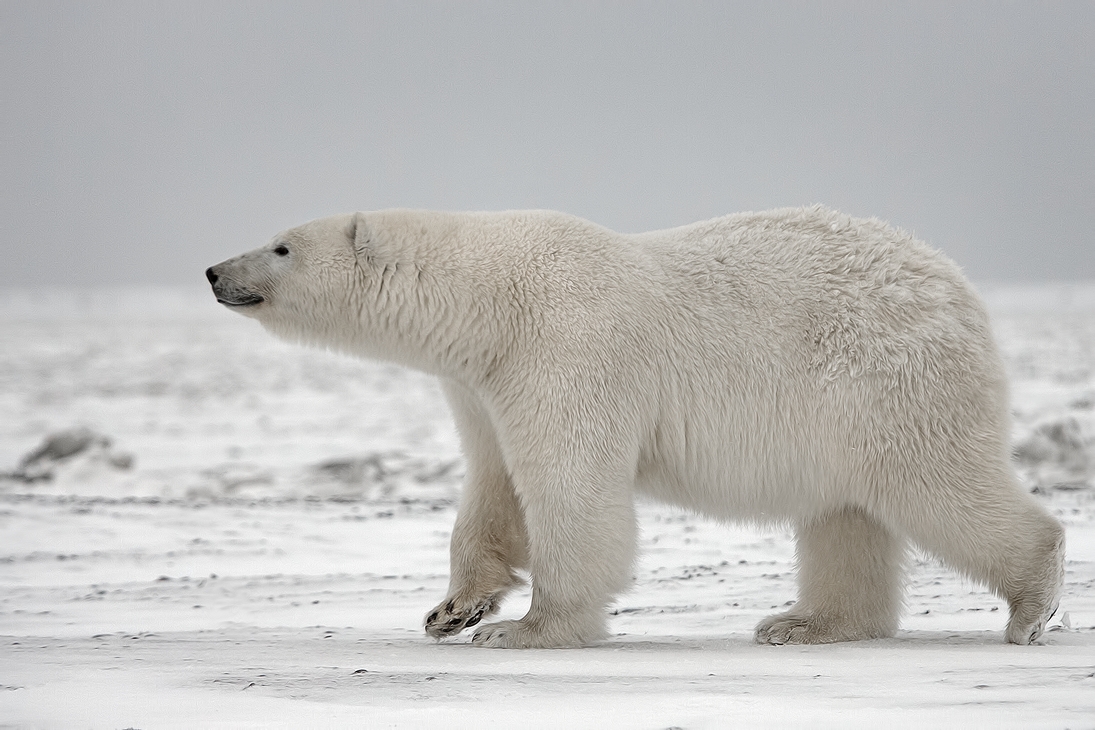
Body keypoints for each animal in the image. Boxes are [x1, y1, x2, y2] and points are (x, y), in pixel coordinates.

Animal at [203, 207, 1059, 647]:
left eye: (281, 245)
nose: (214, 271)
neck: (488, 297)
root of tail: (955, 284)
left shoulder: (565, 345)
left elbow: (570, 487)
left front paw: (527, 630)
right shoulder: (482, 382)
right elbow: (492, 486)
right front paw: (453, 609)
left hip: (884, 381)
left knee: (935, 486)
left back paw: (1027, 608)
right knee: (843, 517)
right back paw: (804, 622)